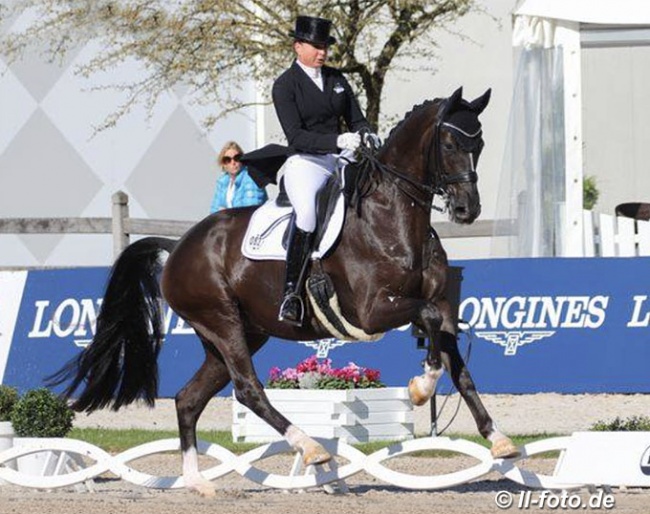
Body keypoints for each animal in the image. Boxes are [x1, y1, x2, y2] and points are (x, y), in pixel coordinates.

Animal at [48, 86, 516, 494]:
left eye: (480, 143)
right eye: (450, 144)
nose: (467, 209)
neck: (394, 218)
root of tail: (179, 245)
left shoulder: (438, 304)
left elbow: (459, 364)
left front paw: (499, 440)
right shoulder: (372, 311)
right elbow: (431, 328)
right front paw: (421, 387)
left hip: (240, 332)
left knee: (188, 399)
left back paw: (198, 483)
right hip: (222, 322)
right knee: (247, 389)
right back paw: (310, 450)